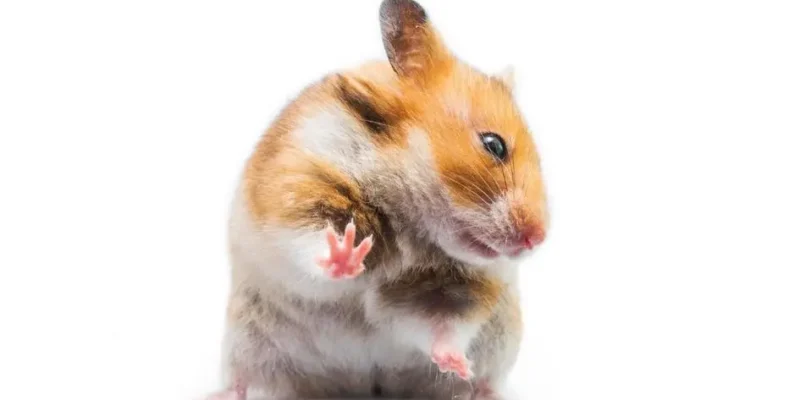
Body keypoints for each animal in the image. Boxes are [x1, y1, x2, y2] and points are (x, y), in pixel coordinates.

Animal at [205, 0, 548, 399]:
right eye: (494, 145)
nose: (537, 238)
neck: (413, 226)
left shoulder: (447, 291)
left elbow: (441, 327)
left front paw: (459, 365)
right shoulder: (300, 190)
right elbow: (310, 245)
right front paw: (347, 256)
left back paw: (479, 388)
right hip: (246, 341)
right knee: (245, 378)